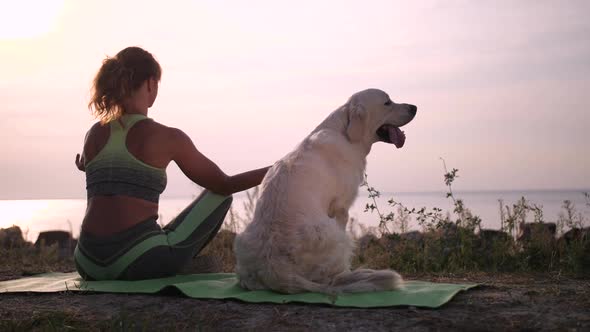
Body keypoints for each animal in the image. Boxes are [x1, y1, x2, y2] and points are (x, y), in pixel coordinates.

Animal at [234, 88, 418, 294]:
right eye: (387, 103)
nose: (414, 108)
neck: (346, 134)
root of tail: (274, 269)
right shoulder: (341, 208)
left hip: (241, 239)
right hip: (337, 236)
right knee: (331, 277)